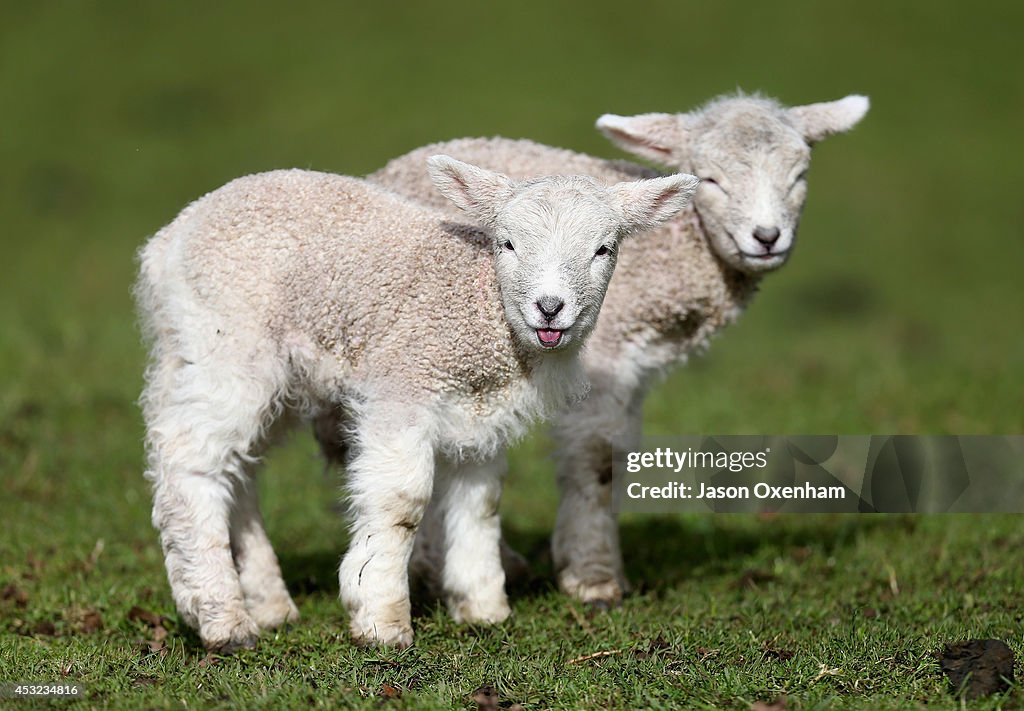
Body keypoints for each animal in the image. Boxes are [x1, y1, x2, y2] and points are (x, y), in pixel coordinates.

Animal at [134, 155, 696, 651]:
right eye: (508, 243)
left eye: (604, 249)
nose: (550, 308)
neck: (479, 307)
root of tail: (167, 241)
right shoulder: (401, 387)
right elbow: (401, 503)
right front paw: (380, 618)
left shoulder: (481, 413)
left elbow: (481, 501)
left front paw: (482, 607)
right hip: (227, 343)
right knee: (190, 460)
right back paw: (223, 620)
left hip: (260, 369)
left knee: (238, 467)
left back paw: (269, 604)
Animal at [356, 93, 868, 606]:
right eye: (711, 180)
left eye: (799, 177)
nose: (767, 238)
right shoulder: (603, 355)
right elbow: (597, 455)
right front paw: (593, 576)